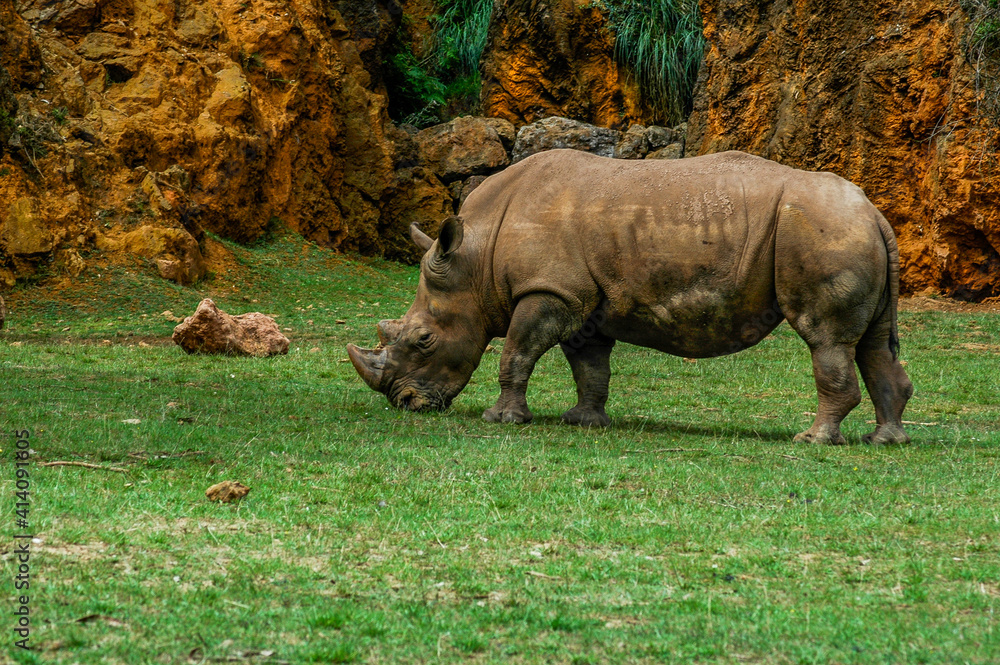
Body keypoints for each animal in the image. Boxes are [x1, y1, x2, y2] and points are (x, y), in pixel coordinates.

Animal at [348, 149, 914, 445]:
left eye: (423, 340)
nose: (403, 403)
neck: (476, 258)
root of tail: (873, 210)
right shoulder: (582, 303)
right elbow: (590, 368)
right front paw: (584, 422)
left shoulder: (549, 292)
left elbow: (516, 353)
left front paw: (501, 419)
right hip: (845, 230)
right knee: (872, 343)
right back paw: (885, 440)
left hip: (821, 231)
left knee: (826, 340)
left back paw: (813, 440)